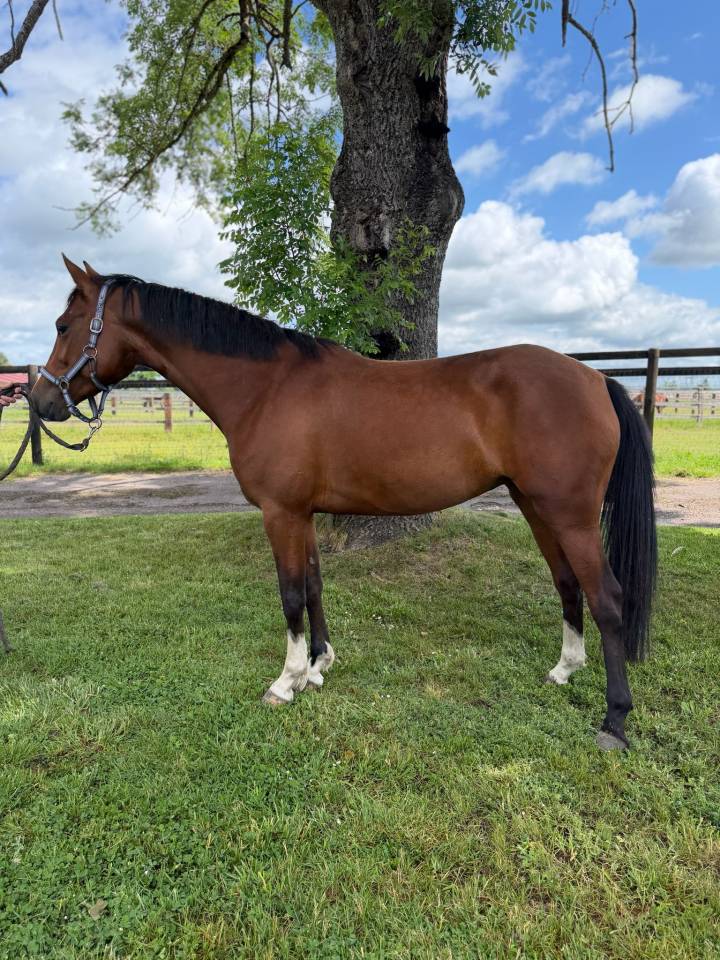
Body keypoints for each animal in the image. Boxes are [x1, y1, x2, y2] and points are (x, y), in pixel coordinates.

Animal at [32, 256, 657, 751]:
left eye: (64, 325)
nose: (40, 401)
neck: (267, 388)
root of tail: (595, 379)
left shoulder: (280, 513)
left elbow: (289, 594)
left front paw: (285, 682)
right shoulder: (302, 515)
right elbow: (313, 586)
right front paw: (318, 667)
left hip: (571, 515)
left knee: (607, 598)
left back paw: (615, 721)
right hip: (537, 506)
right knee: (567, 584)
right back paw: (564, 670)